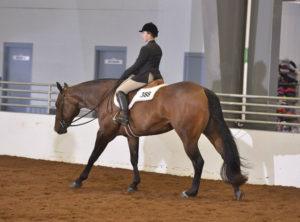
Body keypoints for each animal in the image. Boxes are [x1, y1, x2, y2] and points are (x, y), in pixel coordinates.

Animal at [55, 79, 247, 199]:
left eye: (57, 104)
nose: (57, 129)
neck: (105, 97)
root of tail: (203, 90)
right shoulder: (131, 136)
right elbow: (134, 159)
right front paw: (134, 184)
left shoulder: (104, 133)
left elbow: (93, 156)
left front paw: (78, 180)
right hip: (211, 130)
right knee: (226, 155)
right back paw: (236, 189)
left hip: (188, 137)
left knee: (198, 161)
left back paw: (190, 192)